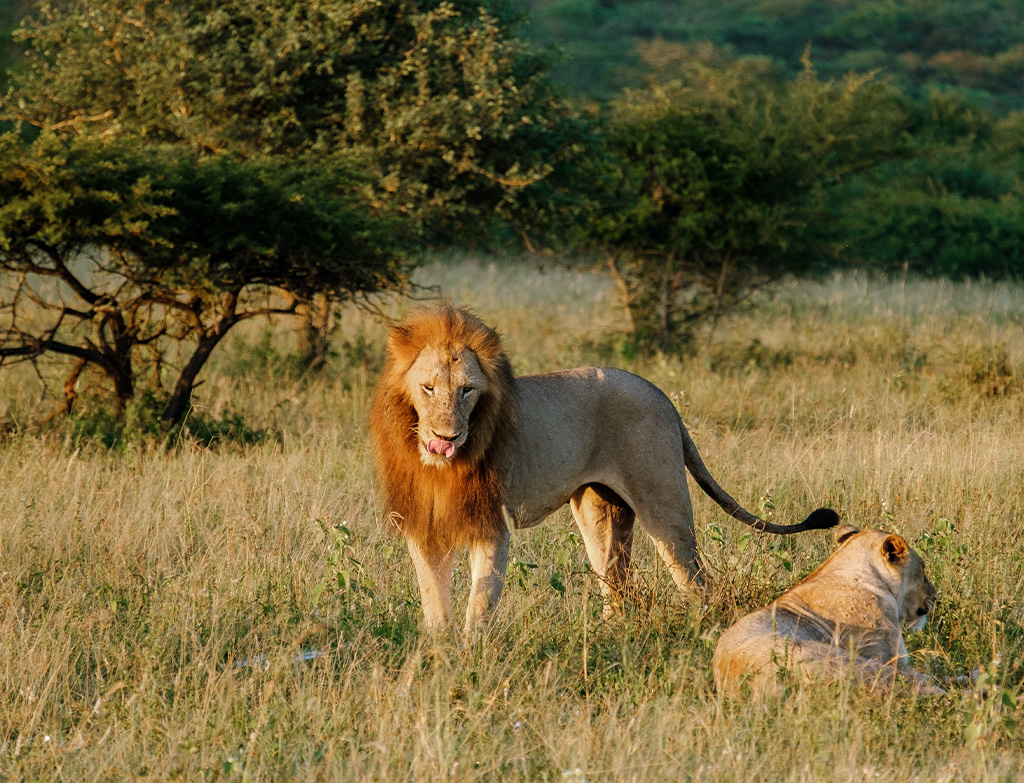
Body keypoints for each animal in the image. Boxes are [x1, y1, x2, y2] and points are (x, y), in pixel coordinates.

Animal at [369, 304, 839, 633]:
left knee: (698, 583)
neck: (440, 467)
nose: (446, 437)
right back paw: (613, 636)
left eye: (468, 390)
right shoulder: (424, 526)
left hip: (664, 507)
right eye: (428, 388)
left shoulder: (492, 524)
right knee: (618, 586)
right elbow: (434, 601)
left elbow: (480, 601)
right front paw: (438, 652)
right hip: (600, 512)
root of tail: (661, 396)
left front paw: (470, 653)